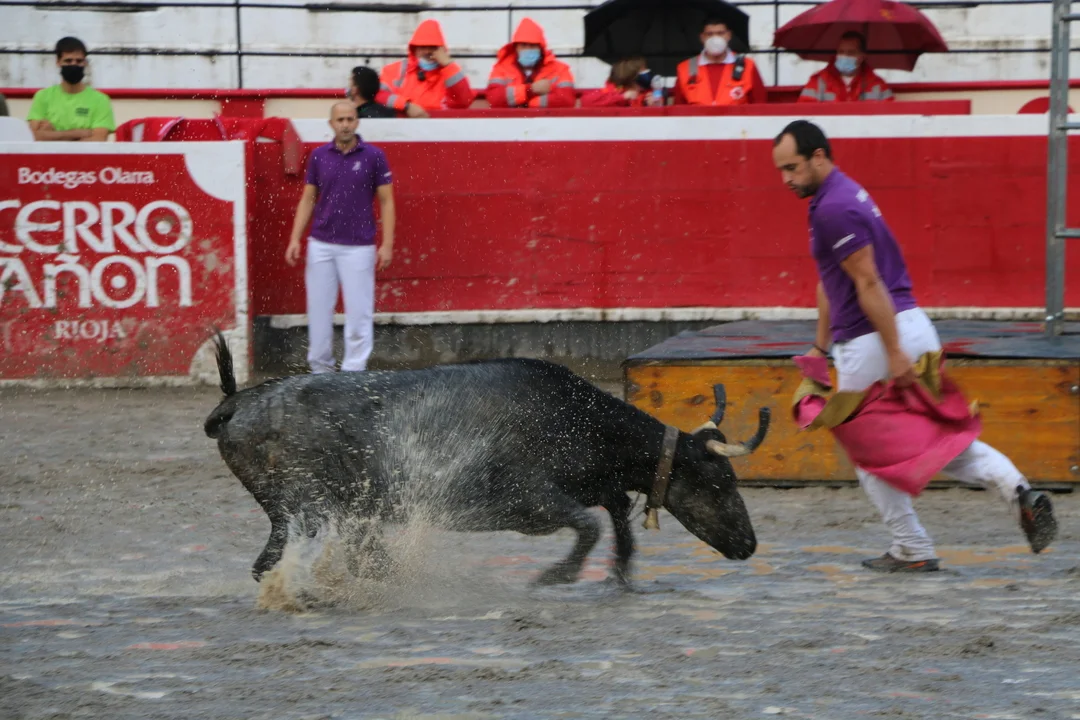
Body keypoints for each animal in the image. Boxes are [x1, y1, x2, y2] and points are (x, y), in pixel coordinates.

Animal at [204, 334, 769, 588]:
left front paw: (622, 575)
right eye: (719, 482)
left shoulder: (591, 487)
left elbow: (615, 517)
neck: (572, 416)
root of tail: (239, 402)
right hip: (303, 510)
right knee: (272, 562)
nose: (749, 544)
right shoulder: (525, 501)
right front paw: (556, 576)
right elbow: (589, 524)